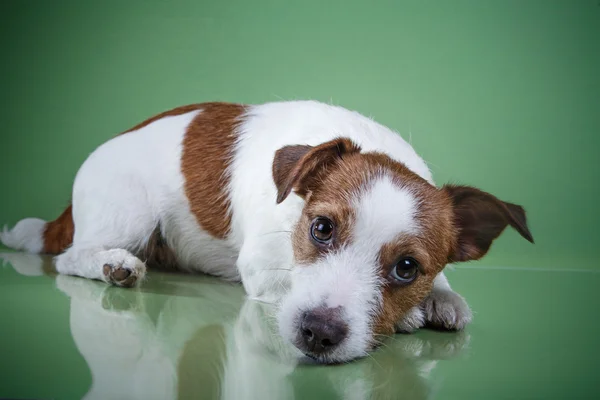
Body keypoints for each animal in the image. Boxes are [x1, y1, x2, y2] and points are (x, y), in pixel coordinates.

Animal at [0, 100, 536, 362]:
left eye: (407, 268)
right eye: (321, 229)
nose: (319, 333)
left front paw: (440, 297)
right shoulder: (262, 266)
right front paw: (408, 318)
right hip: (130, 210)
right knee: (70, 256)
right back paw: (112, 264)